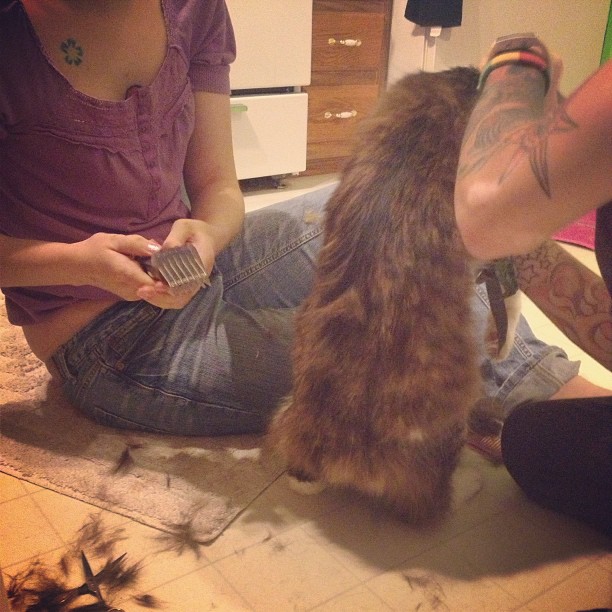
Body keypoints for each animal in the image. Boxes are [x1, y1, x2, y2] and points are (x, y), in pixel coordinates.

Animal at [268, 67, 489, 525]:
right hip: (450, 426)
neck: (422, 127)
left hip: (291, 404)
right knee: (433, 503)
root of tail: (349, 453)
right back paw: (469, 486)